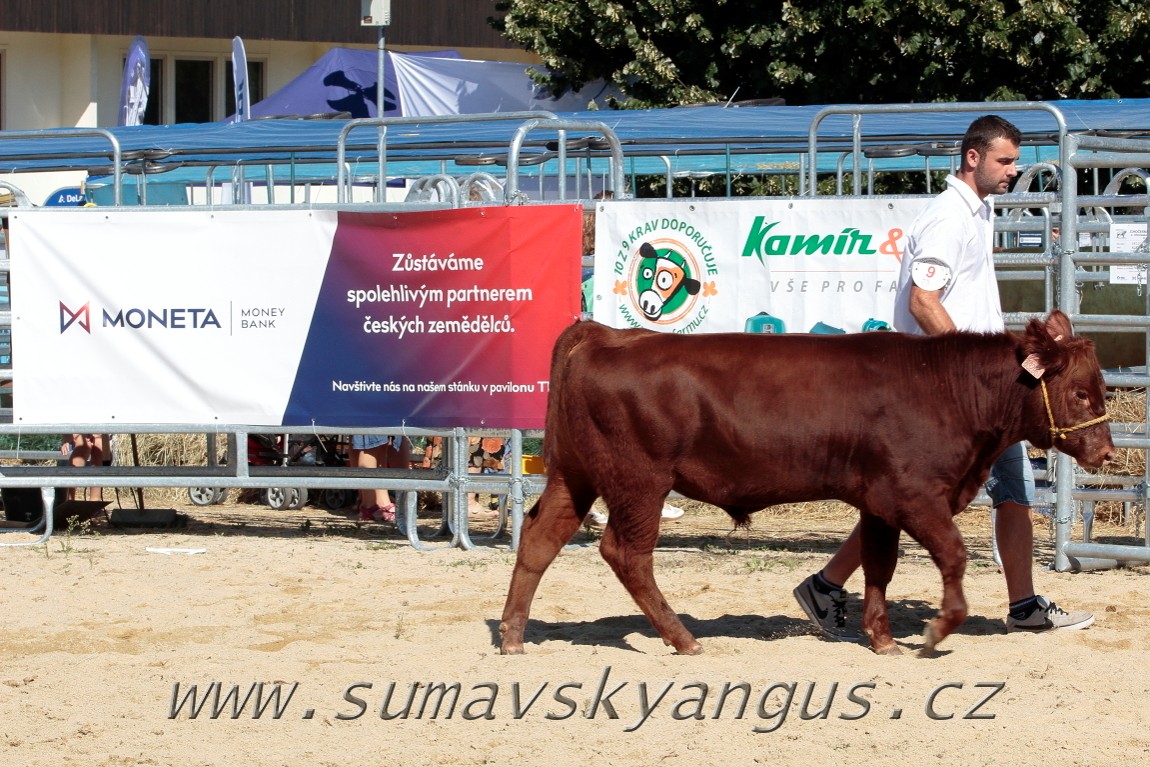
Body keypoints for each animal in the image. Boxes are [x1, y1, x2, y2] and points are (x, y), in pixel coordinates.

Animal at [501, 308, 1113, 657]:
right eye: (1081, 392)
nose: (1106, 452)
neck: (944, 387)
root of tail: (605, 334)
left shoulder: (880, 503)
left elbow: (880, 566)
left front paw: (882, 638)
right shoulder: (916, 497)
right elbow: (953, 556)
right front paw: (937, 631)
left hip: (575, 476)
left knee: (540, 539)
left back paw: (512, 637)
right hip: (638, 482)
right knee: (627, 554)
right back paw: (683, 639)